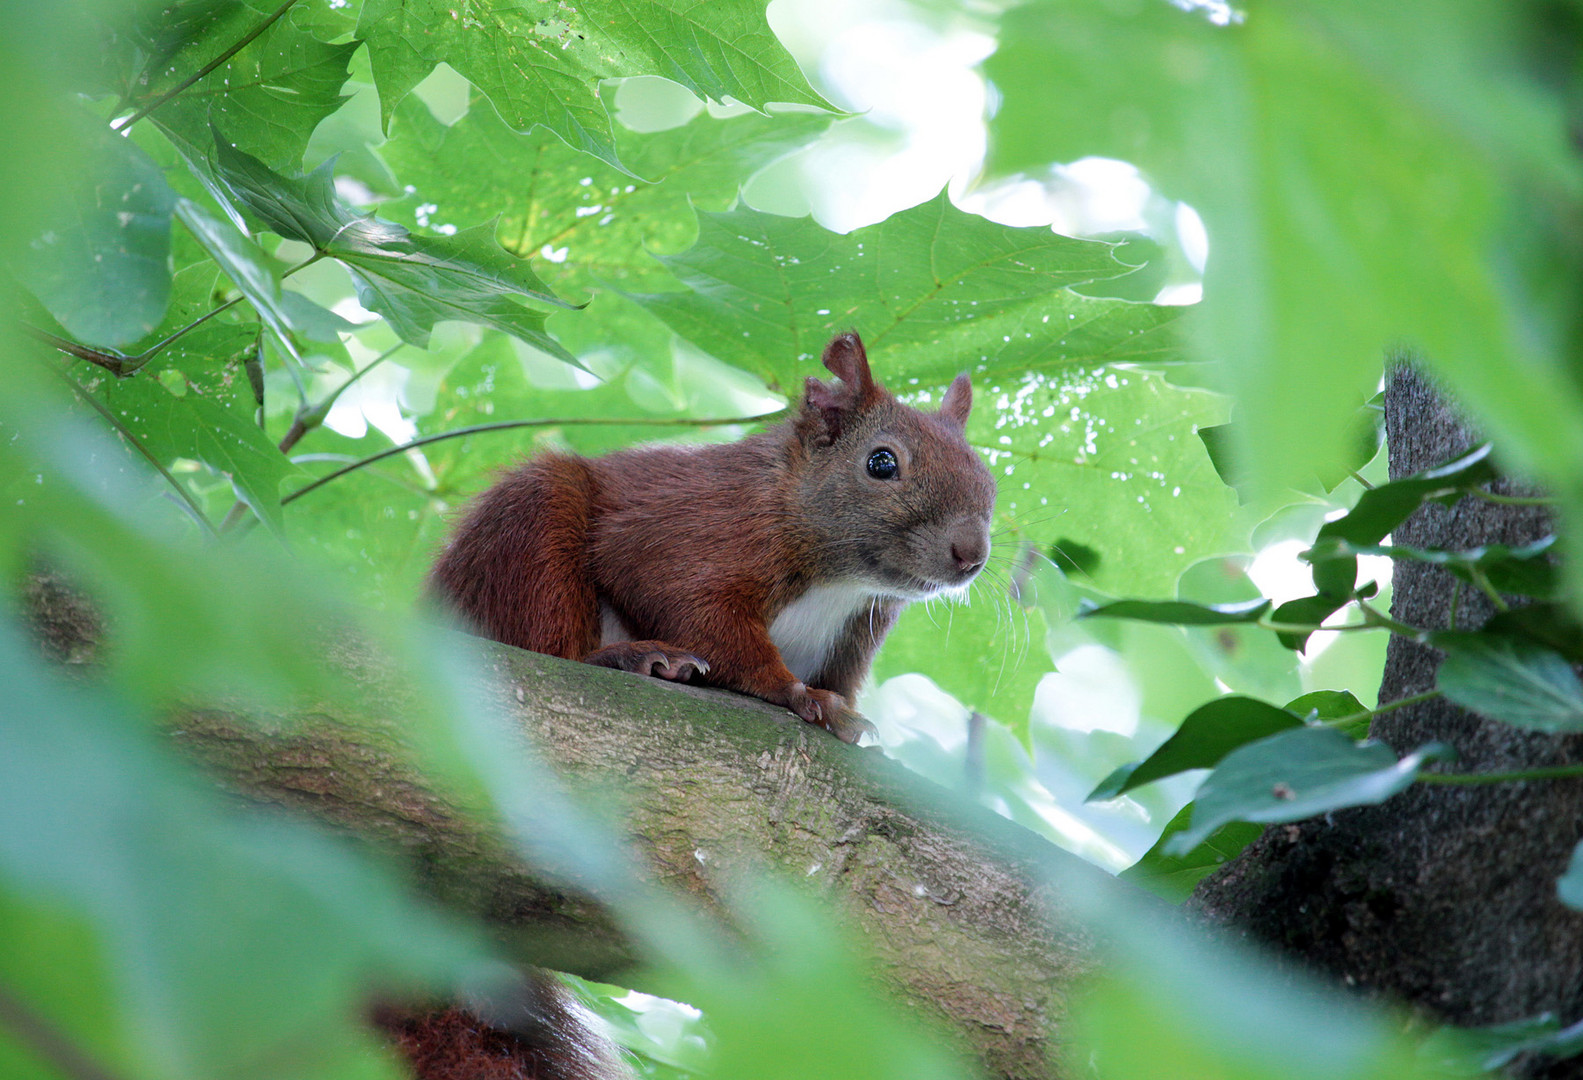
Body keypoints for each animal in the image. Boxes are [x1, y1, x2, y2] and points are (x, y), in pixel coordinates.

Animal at [427, 332, 994, 734]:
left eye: (988, 476)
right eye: (881, 463)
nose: (971, 554)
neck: (842, 583)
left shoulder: (854, 638)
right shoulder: (698, 531)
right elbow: (700, 615)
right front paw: (796, 693)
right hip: (532, 528)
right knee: (547, 643)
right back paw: (629, 657)